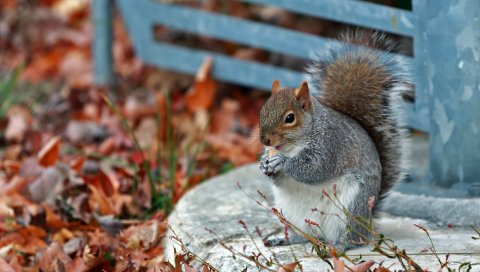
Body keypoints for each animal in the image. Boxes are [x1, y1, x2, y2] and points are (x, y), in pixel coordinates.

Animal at [256, 30, 410, 251]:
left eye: (290, 118)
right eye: (262, 110)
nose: (265, 140)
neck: (292, 146)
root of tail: (368, 222)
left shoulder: (331, 145)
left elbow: (314, 169)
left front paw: (281, 162)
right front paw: (264, 164)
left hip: (350, 209)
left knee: (350, 238)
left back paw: (337, 246)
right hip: (290, 214)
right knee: (301, 235)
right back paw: (282, 239)